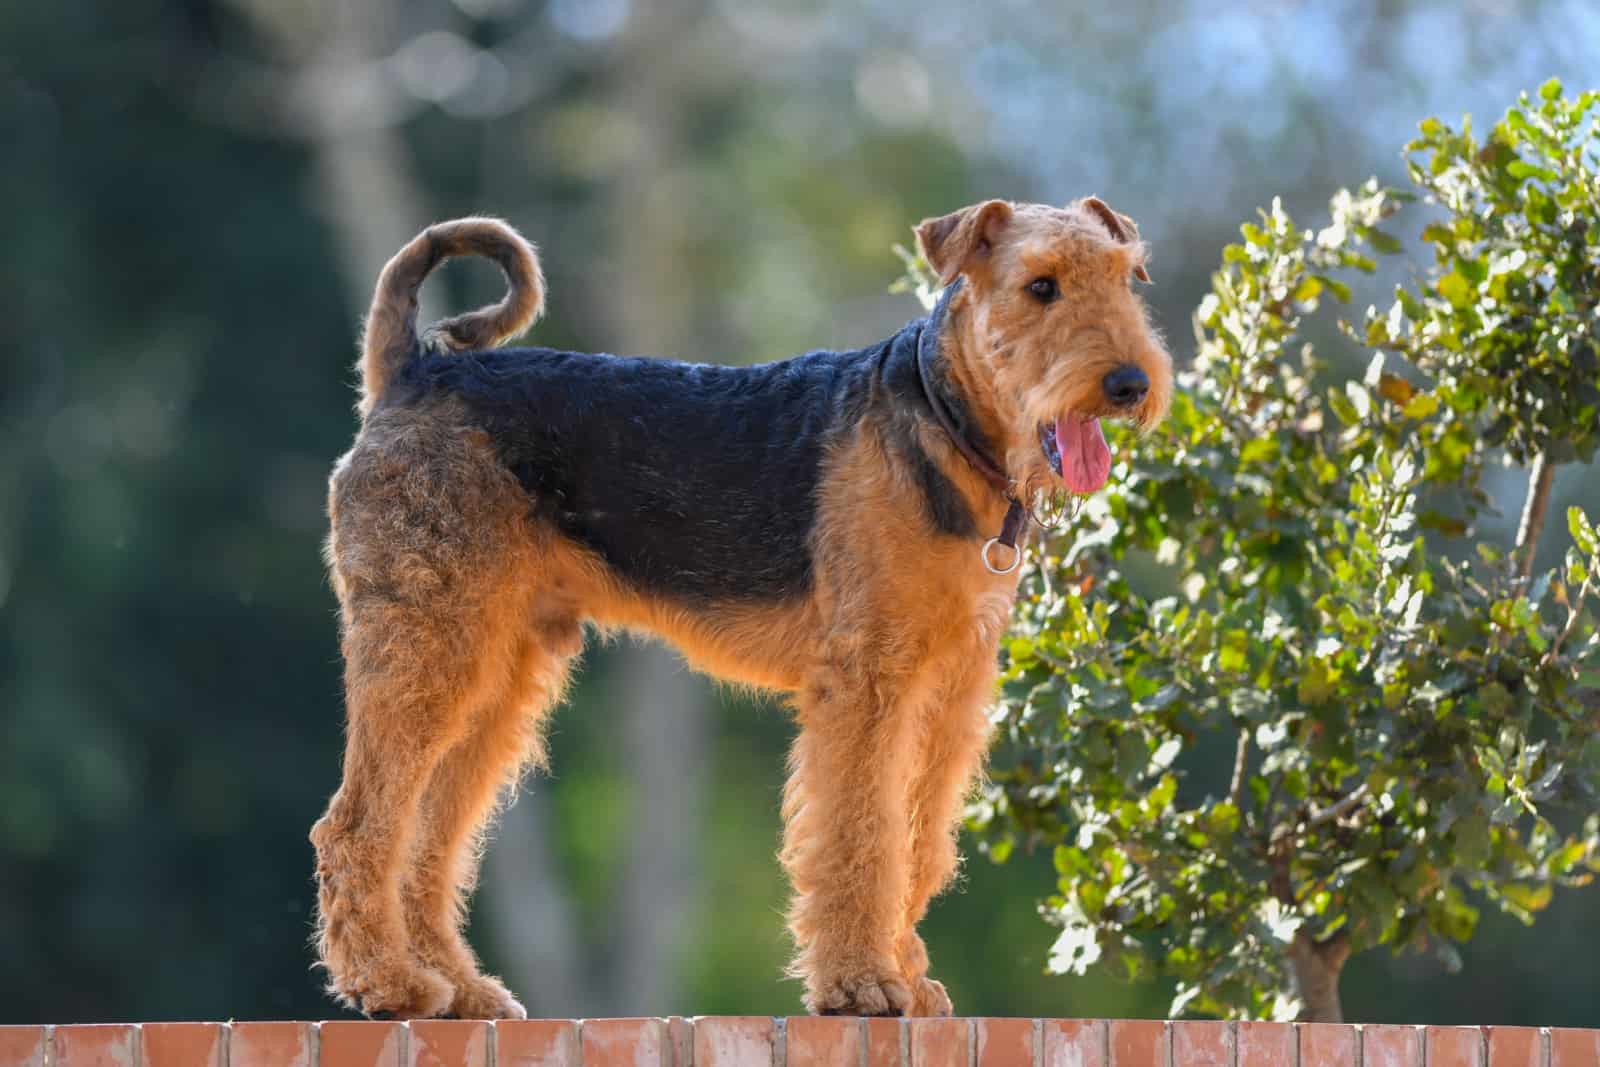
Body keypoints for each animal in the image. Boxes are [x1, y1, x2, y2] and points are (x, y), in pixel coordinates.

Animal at [308, 195, 1177, 1023]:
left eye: (1127, 277)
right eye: (1041, 285)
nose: (1131, 384)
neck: (942, 424)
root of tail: (412, 372)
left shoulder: (950, 688)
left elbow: (918, 840)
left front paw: (909, 979)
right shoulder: (867, 678)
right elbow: (860, 833)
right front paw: (862, 983)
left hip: (497, 669)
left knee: (429, 836)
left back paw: (458, 987)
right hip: (429, 644)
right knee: (356, 824)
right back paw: (389, 984)